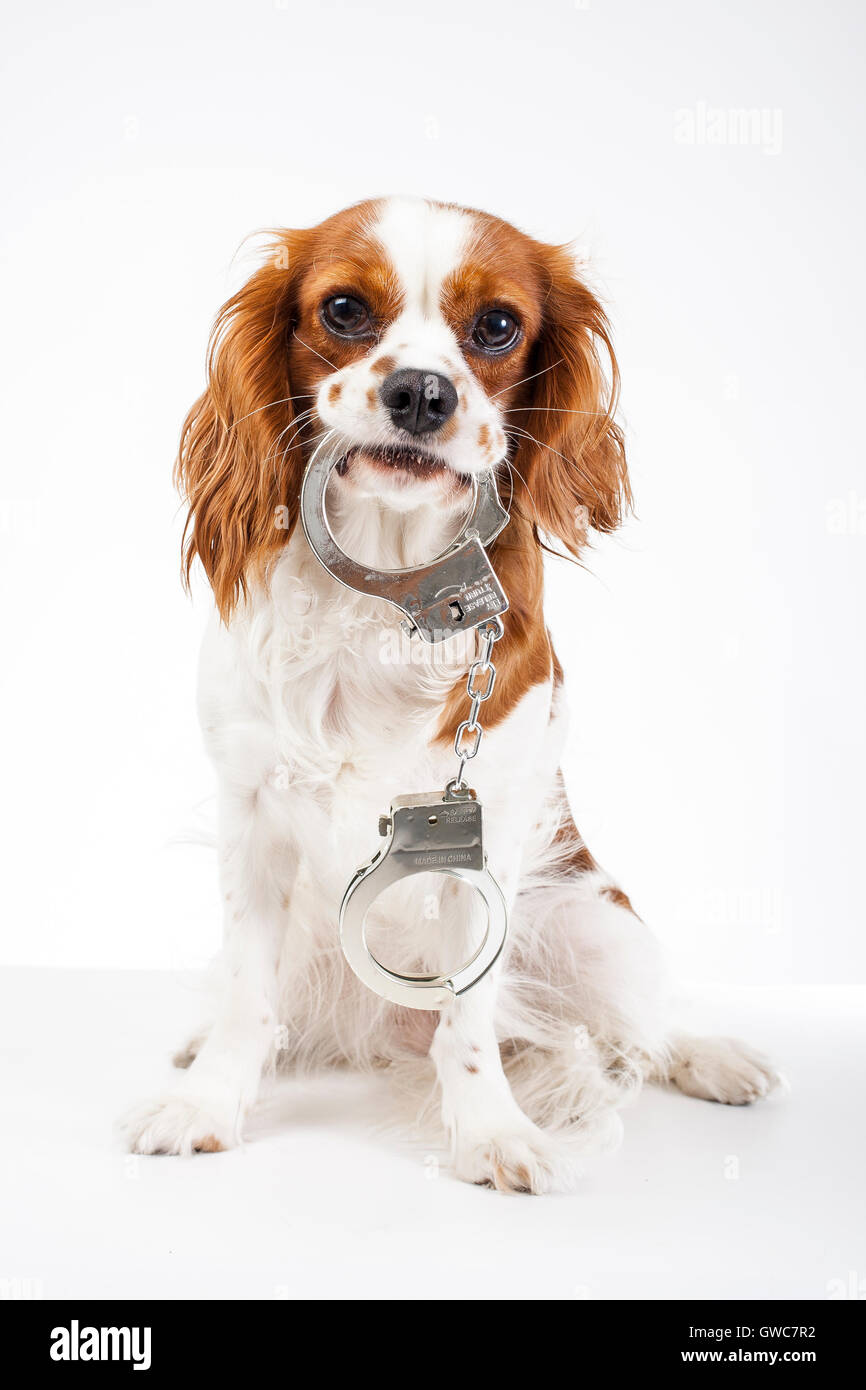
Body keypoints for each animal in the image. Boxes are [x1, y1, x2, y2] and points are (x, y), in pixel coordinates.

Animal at [125, 198, 783, 1195]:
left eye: (498, 326)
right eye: (345, 309)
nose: (422, 394)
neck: (384, 591)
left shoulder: (489, 837)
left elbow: (467, 1023)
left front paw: (491, 1133)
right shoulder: (252, 818)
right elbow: (247, 997)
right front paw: (206, 1104)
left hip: (595, 926)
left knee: (640, 1022)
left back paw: (710, 1057)